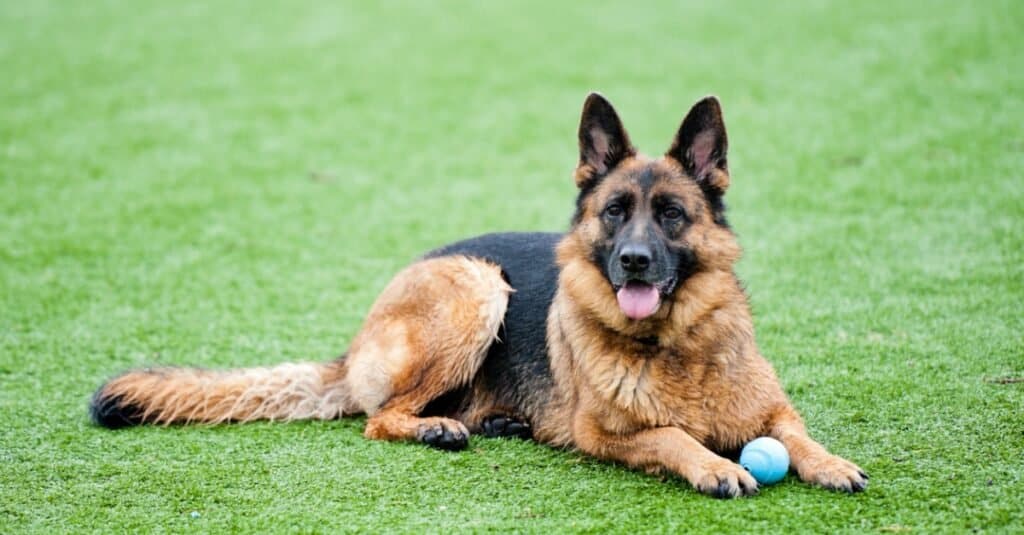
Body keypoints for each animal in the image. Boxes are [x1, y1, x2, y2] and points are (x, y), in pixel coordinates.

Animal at [92, 92, 868, 496]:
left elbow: (798, 434)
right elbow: (673, 434)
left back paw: (495, 420)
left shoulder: (773, 409)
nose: (634, 262)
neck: (674, 347)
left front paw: (830, 463)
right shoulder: (604, 434)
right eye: (616, 212)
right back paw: (439, 427)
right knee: (380, 417)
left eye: (672, 214)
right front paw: (713, 464)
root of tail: (352, 347)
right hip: (476, 283)